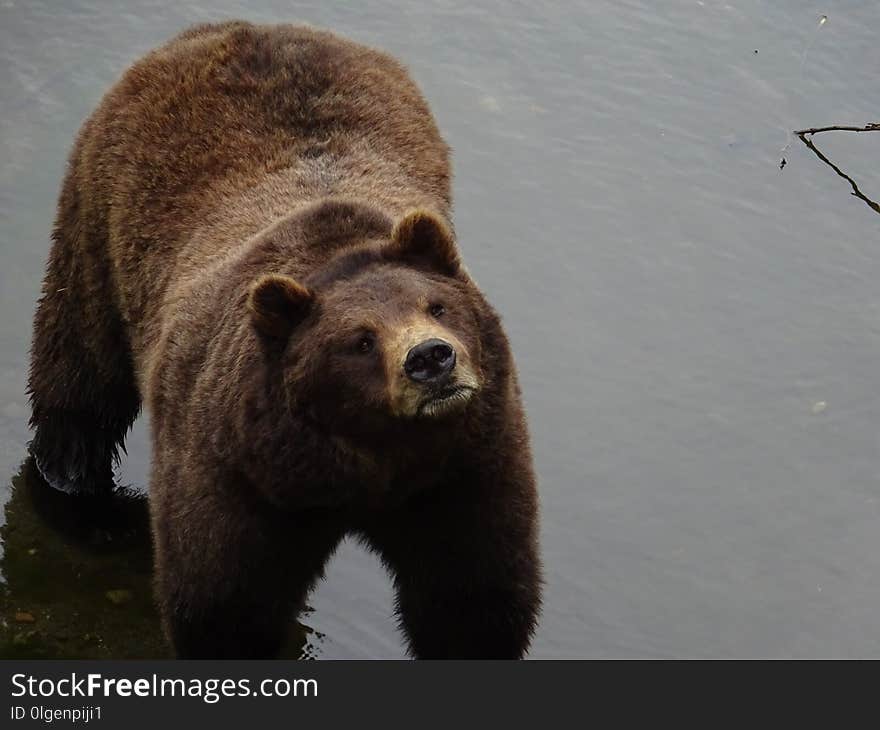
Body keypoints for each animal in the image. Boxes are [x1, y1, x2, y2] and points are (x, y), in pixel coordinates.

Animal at [27, 19, 544, 656]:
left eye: (438, 305)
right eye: (361, 339)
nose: (430, 359)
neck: (363, 461)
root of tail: (233, 27)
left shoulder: (464, 467)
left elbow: (472, 596)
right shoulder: (236, 470)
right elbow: (222, 599)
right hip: (100, 225)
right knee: (80, 367)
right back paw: (76, 489)